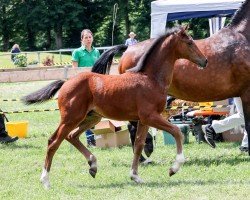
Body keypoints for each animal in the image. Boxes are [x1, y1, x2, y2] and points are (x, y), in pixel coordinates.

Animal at [22, 27, 207, 189]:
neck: (151, 78)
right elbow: (176, 132)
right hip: (71, 118)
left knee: (72, 136)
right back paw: (45, 181)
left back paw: (93, 165)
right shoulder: (151, 116)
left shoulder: (144, 119)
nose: (204, 61)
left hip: (91, 118)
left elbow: (138, 144)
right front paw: (173, 168)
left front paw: (135, 176)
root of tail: (66, 83)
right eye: (189, 42)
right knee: (53, 141)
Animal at [92, 0, 250, 155]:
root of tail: (128, 49)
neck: (242, 38)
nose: (204, 61)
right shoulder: (246, 93)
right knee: (133, 127)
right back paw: (145, 154)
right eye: (189, 42)